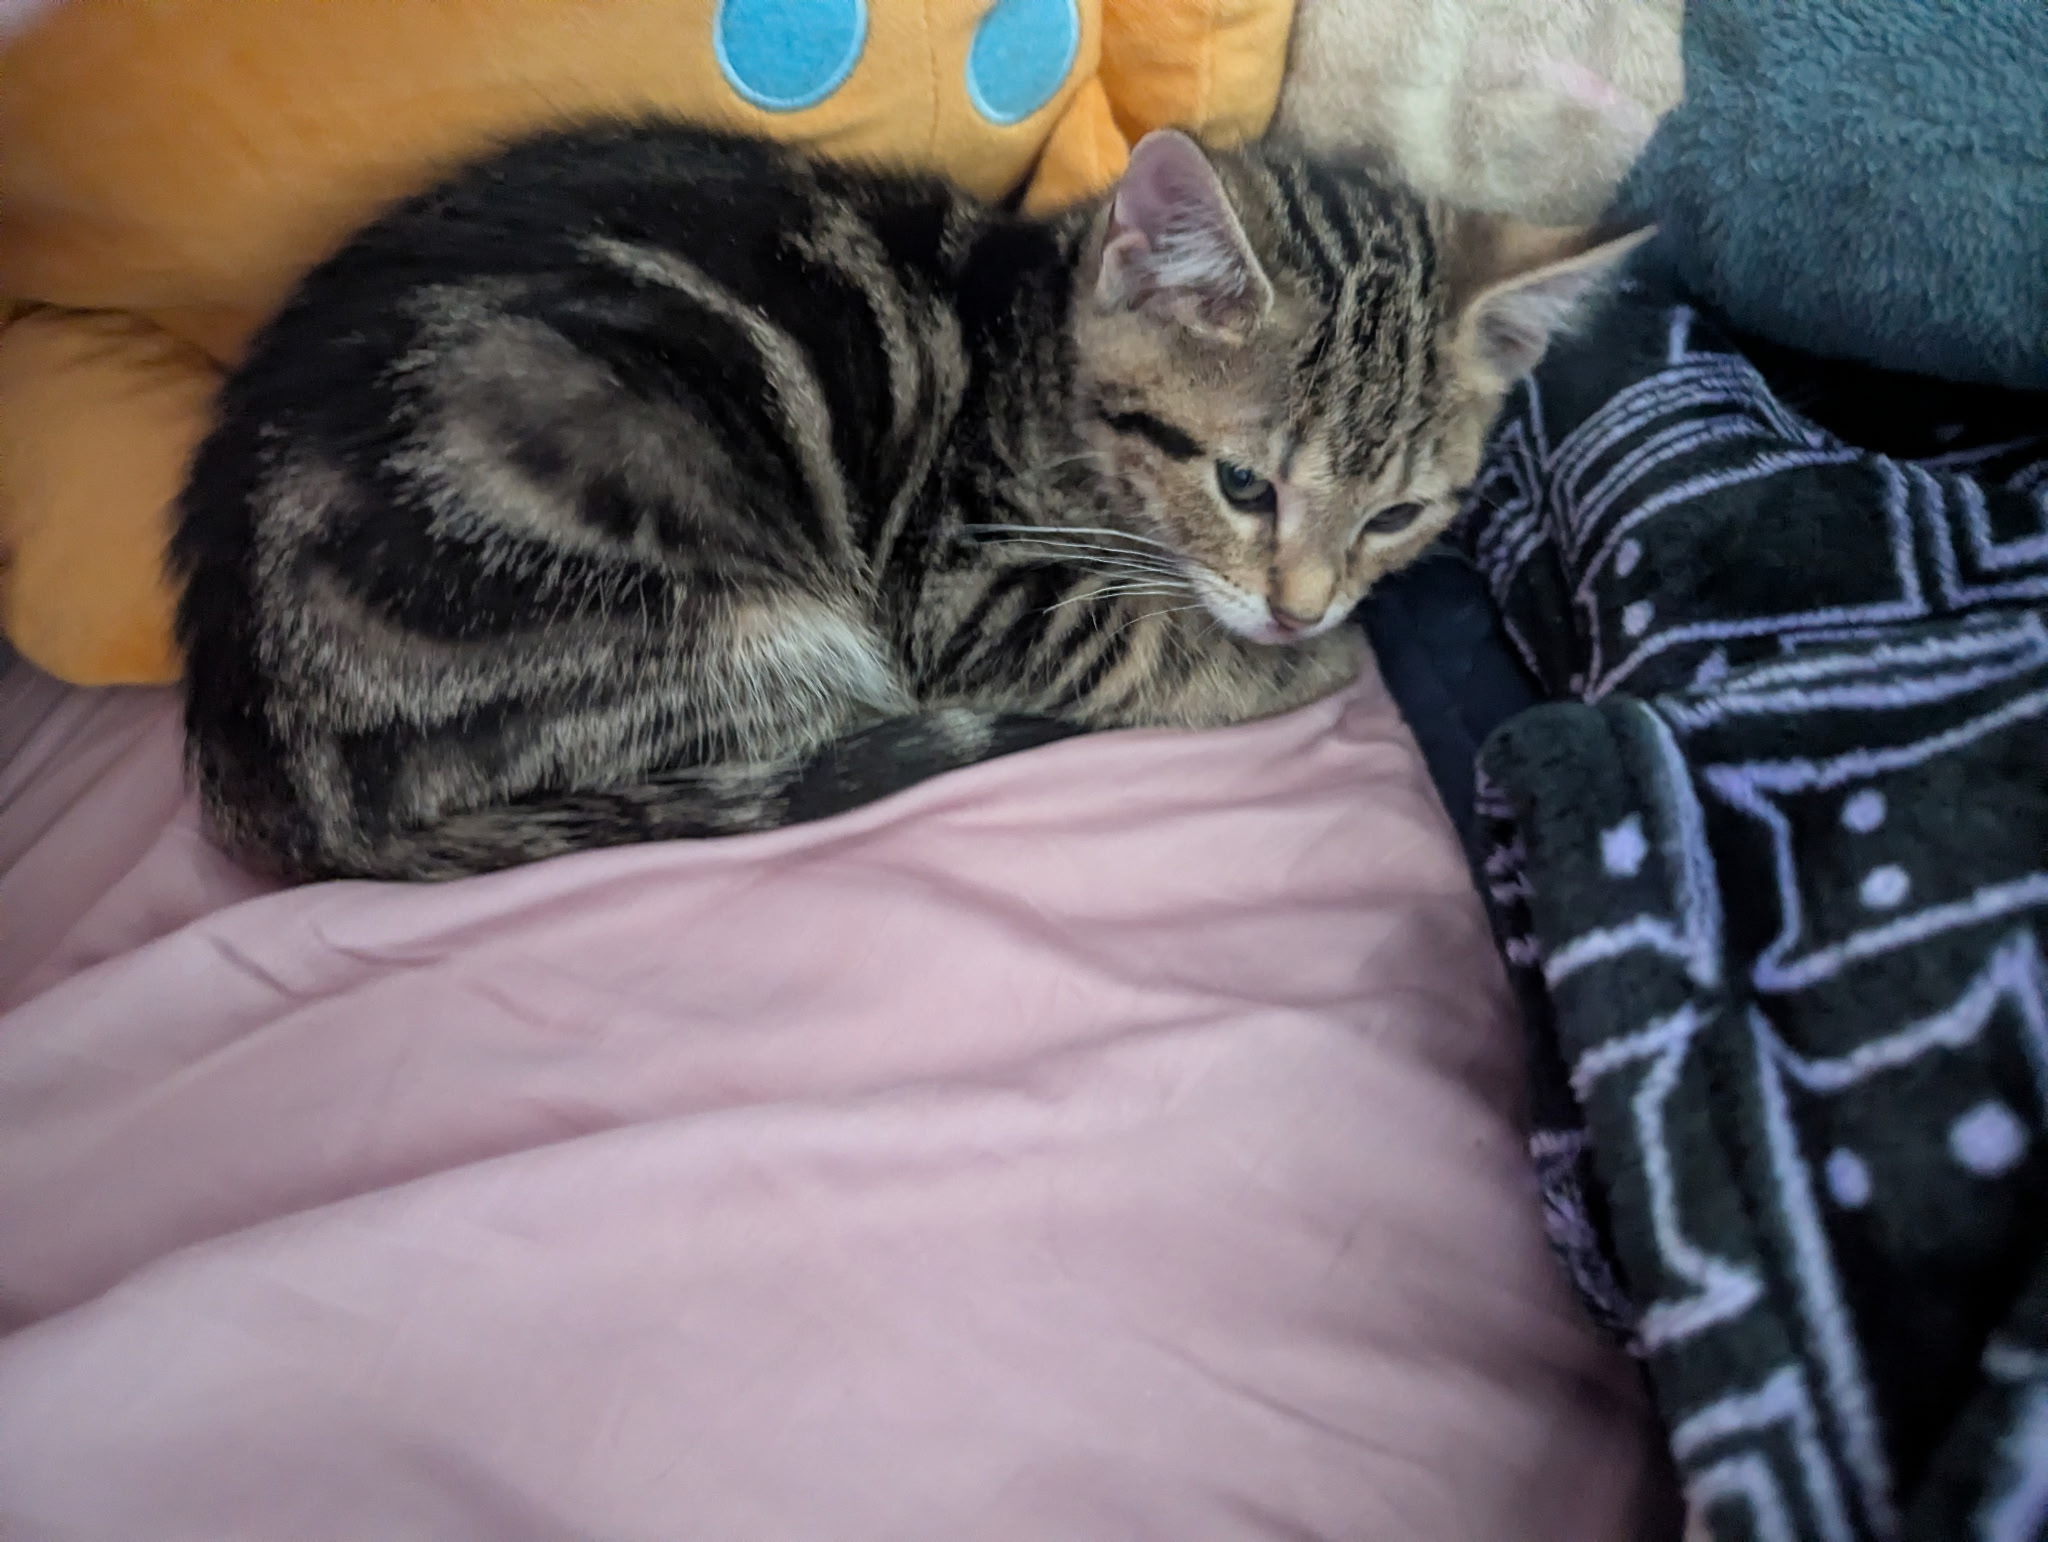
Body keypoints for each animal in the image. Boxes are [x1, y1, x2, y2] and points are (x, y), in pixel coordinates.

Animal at [172, 120, 1644, 881]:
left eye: (1397, 517)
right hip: (707, 612)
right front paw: (1304, 664)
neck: (1035, 354)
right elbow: (1137, 638)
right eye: (1242, 482)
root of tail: (265, 784)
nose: (1302, 608)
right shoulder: (958, 583)